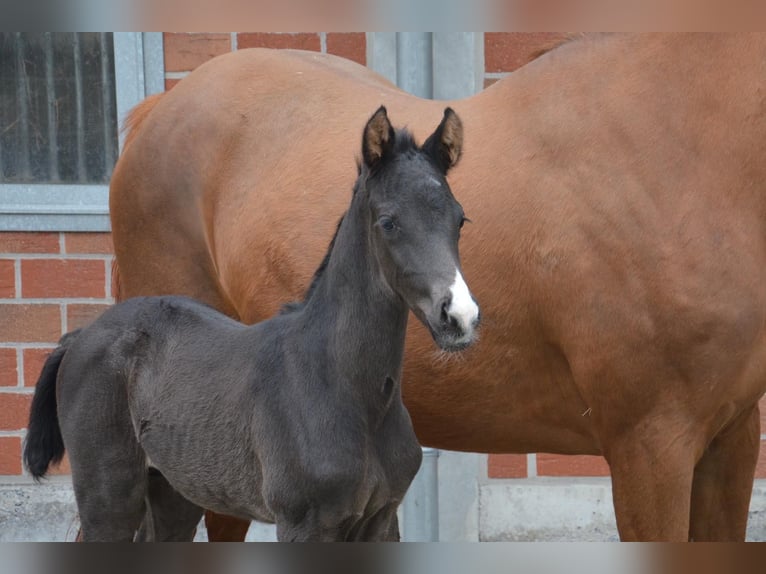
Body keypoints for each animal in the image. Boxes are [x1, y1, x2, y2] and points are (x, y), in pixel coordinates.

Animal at [22, 108, 480, 544]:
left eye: (459, 219)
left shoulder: (380, 520)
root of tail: (79, 337)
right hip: (107, 492)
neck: (346, 388)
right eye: (388, 221)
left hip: (175, 488)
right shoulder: (302, 522)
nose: (458, 316)